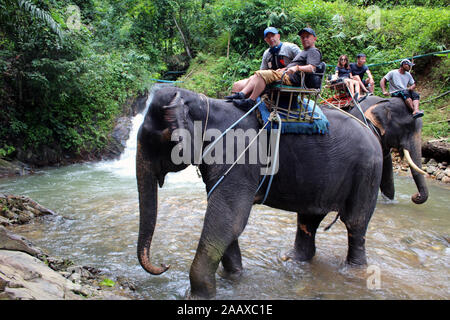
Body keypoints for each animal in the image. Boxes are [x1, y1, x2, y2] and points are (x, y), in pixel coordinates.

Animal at [136, 86, 384, 298]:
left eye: (153, 140)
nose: (165, 264)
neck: (205, 104)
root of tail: (371, 131)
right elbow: (227, 222)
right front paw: (235, 277)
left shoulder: (240, 158)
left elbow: (228, 219)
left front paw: (196, 296)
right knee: (308, 220)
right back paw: (291, 261)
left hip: (367, 172)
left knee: (355, 223)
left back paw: (353, 271)